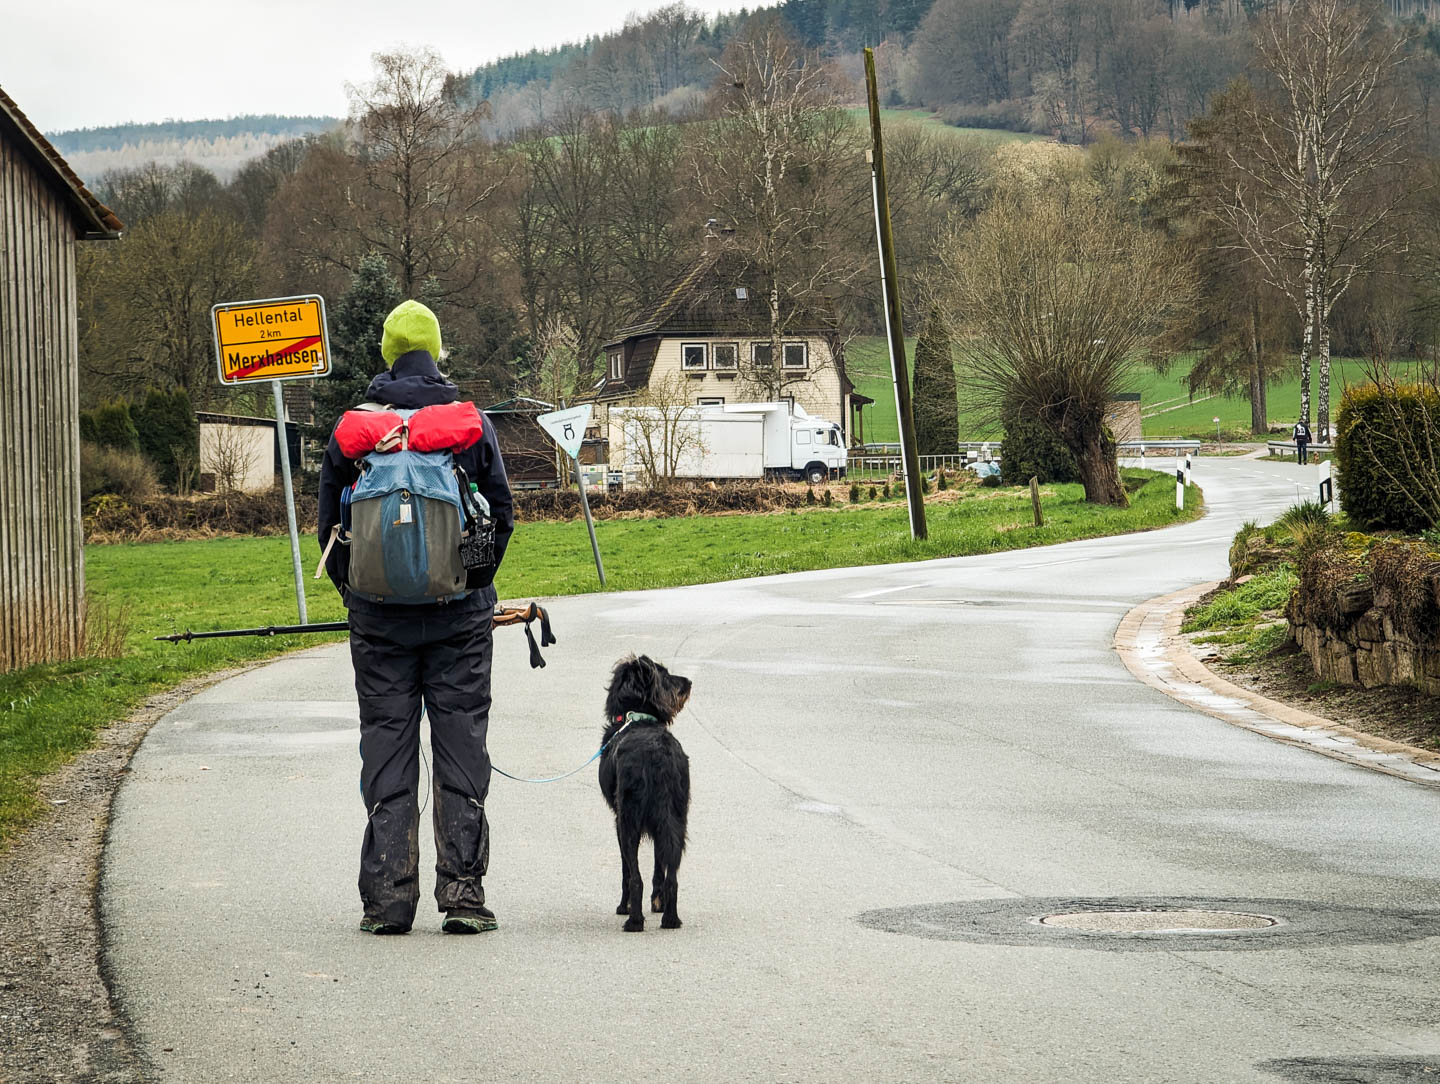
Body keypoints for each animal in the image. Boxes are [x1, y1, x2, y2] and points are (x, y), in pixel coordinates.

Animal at [601, 656, 691, 927]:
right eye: (667, 675)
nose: (688, 683)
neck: (639, 717)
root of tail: (657, 752)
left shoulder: (619, 820)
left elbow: (626, 869)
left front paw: (625, 906)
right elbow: (659, 866)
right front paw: (657, 903)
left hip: (629, 820)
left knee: (635, 876)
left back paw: (633, 920)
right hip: (676, 817)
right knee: (672, 875)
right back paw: (670, 919)